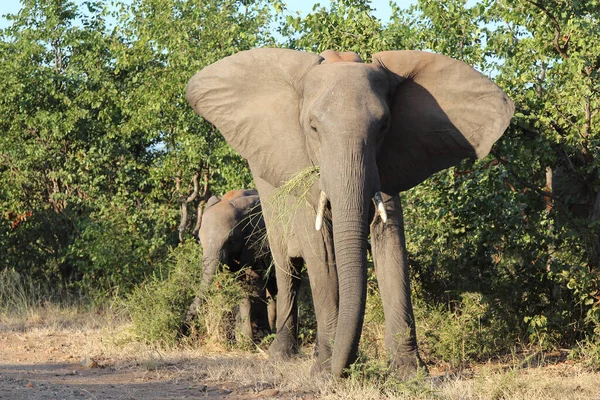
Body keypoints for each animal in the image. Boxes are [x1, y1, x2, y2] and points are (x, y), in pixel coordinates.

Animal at [185, 189, 276, 342]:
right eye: (200, 240)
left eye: (232, 241)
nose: (187, 331)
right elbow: (240, 283)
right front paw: (244, 340)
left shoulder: (257, 240)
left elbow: (255, 280)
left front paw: (259, 338)